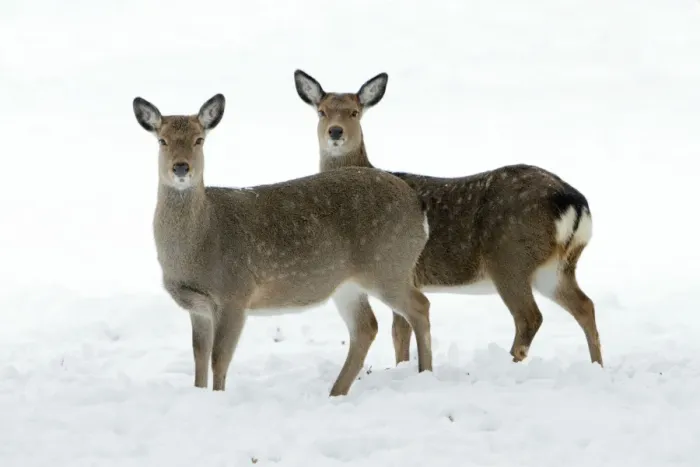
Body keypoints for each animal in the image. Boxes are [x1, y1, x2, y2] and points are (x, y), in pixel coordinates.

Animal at [132, 93, 434, 396]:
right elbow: (199, 358)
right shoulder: (198, 307)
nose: (181, 167)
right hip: (349, 283)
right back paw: (335, 392)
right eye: (162, 140)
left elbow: (219, 359)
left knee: (420, 306)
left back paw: (425, 373)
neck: (200, 242)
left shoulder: (235, 293)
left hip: (388, 264)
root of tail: (418, 206)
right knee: (366, 327)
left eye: (199, 140)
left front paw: (218, 397)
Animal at [293, 69, 602, 368]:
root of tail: (573, 202)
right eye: (321, 111)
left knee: (529, 316)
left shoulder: (399, 270)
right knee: (585, 305)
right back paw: (596, 365)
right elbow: (400, 332)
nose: (335, 131)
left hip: (510, 257)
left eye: (354, 112)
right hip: (556, 267)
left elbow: (399, 331)